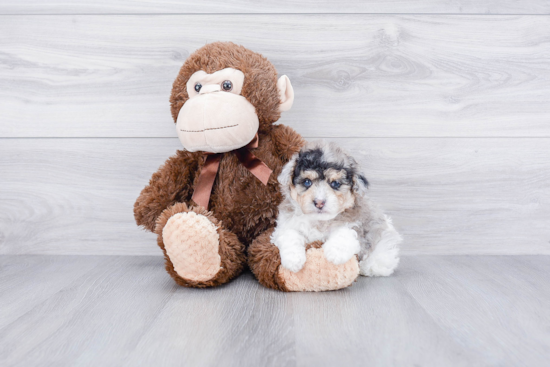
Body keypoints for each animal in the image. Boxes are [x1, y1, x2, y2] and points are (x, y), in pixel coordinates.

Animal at [274, 141, 404, 276]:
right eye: (307, 182)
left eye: (335, 184)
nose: (319, 202)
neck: (319, 221)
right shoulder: (286, 224)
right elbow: (289, 234)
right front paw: (293, 260)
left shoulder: (356, 224)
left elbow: (345, 232)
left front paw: (334, 253)